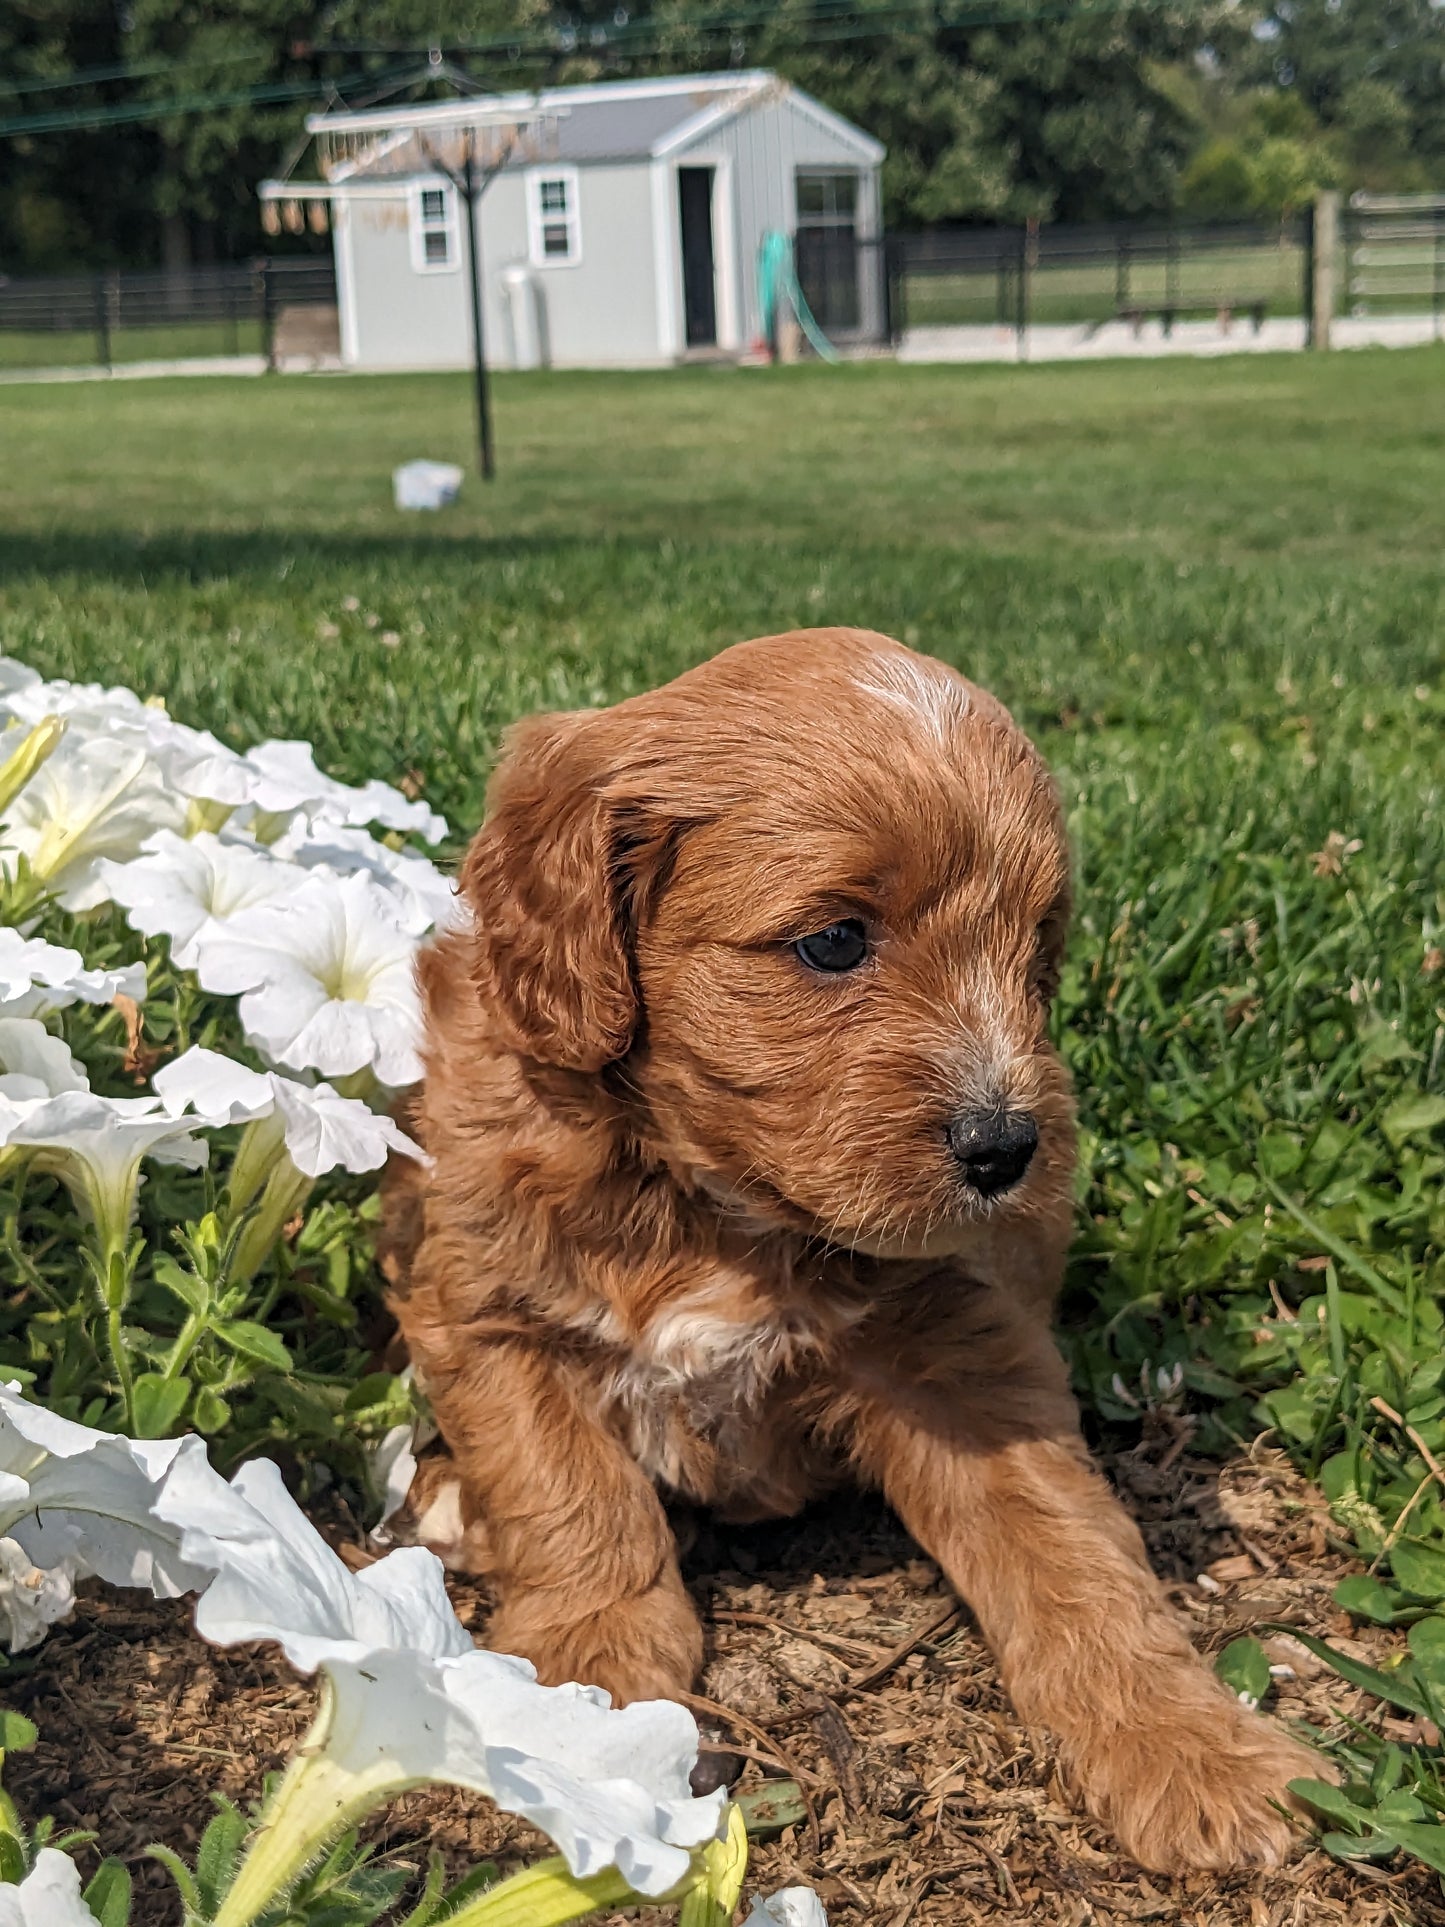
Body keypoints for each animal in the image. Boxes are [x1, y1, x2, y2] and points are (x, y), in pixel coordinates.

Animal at [387, 632, 1325, 1865]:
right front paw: (583, 1679)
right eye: (834, 940)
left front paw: (1188, 1745)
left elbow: (1073, 1554)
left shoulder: (964, 1356)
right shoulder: (487, 1298)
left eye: (1036, 948)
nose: (1005, 1147)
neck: (712, 1204)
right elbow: (565, 1489)